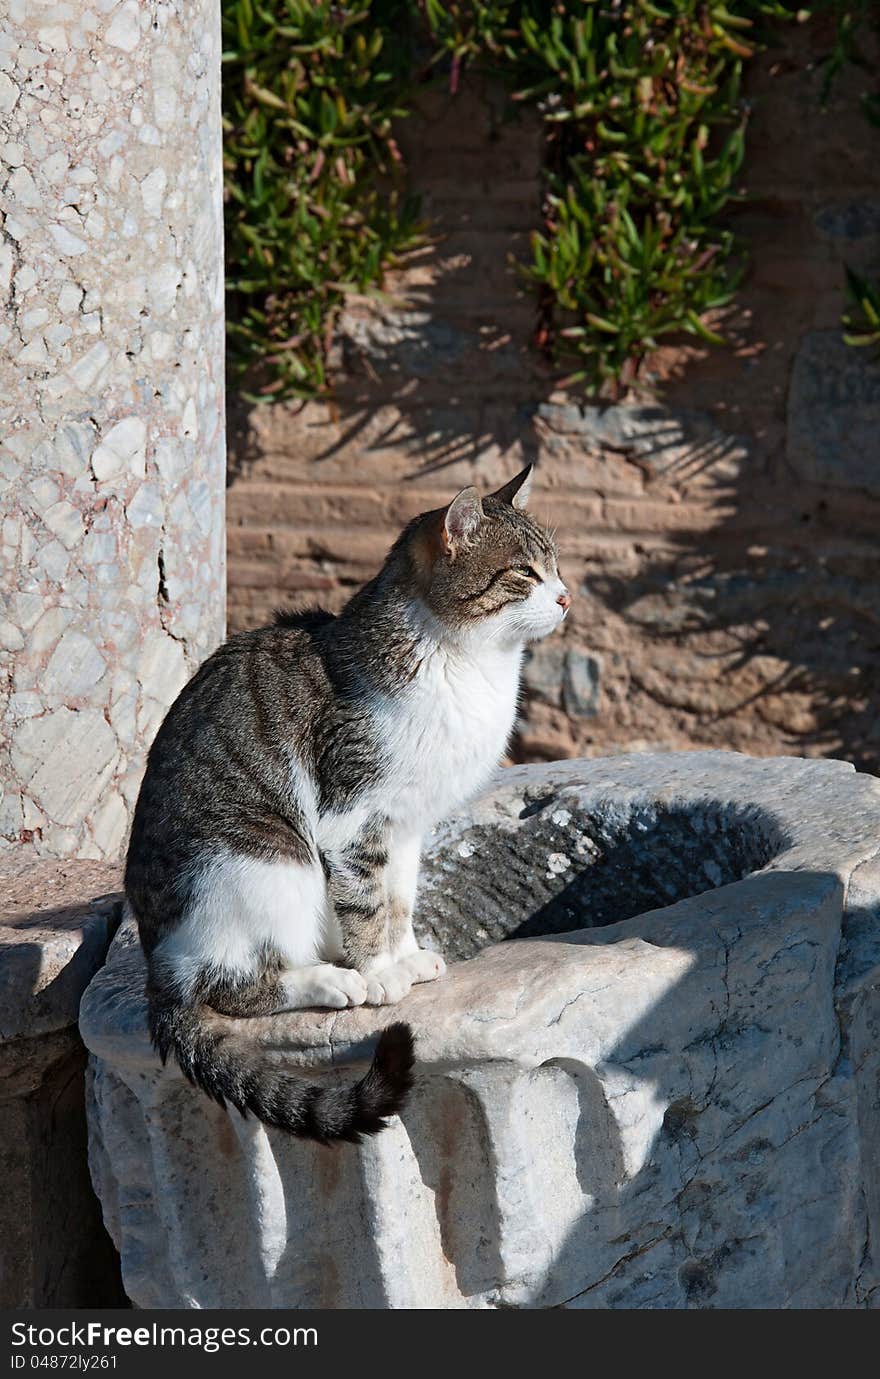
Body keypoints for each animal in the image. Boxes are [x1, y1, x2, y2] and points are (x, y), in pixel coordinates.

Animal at [127, 463, 576, 1141]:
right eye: (524, 573)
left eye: (554, 565)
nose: (567, 597)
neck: (467, 666)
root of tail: (156, 969)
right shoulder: (352, 817)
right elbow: (366, 903)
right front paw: (380, 973)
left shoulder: (409, 823)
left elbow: (398, 900)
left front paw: (406, 956)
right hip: (266, 857)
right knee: (230, 985)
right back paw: (331, 980)